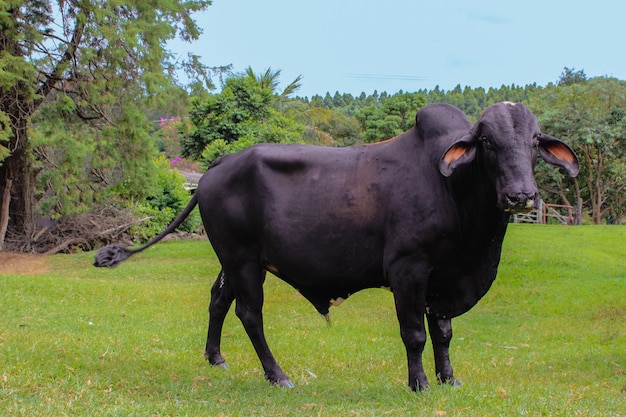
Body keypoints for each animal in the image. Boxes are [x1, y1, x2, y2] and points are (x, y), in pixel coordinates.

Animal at [95, 101, 576, 390]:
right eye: (487, 141)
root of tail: (220, 163)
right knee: (249, 314)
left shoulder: (444, 279)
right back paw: (278, 376)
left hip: (236, 260)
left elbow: (443, 333)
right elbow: (415, 333)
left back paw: (216, 358)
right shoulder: (409, 269)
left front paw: (449, 380)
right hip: (242, 259)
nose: (520, 195)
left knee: (218, 299)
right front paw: (419, 384)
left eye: (535, 140)